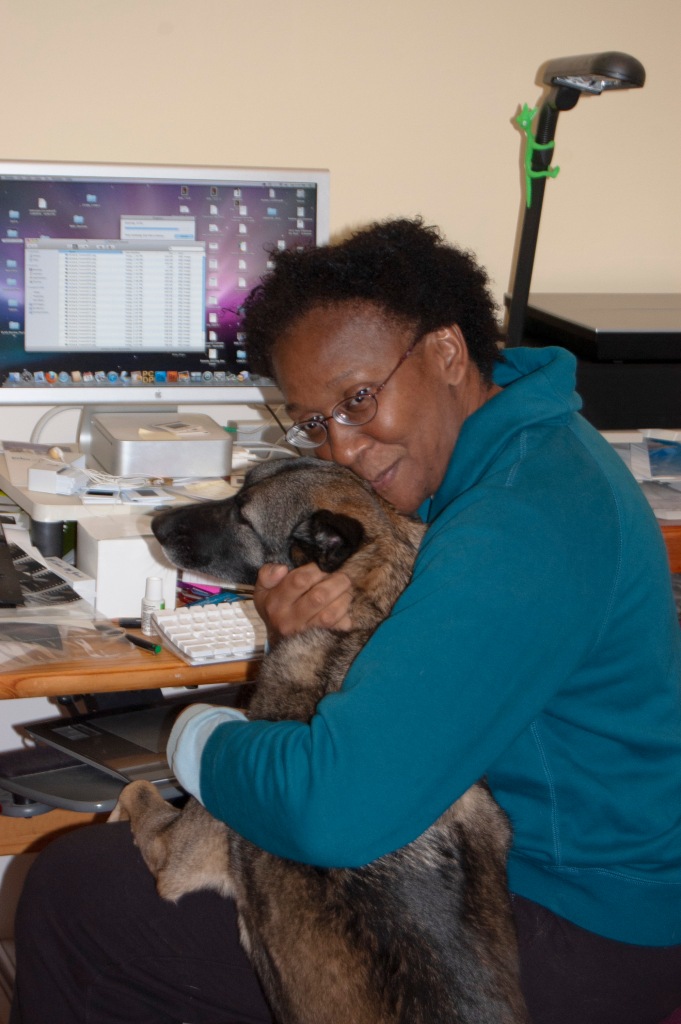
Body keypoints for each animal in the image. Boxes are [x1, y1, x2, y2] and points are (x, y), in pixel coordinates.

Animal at [111, 457, 528, 1024]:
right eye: (239, 488)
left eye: (243, 515)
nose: (153, 523)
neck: (347, 639)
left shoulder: (173, 855)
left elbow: (136, 792)